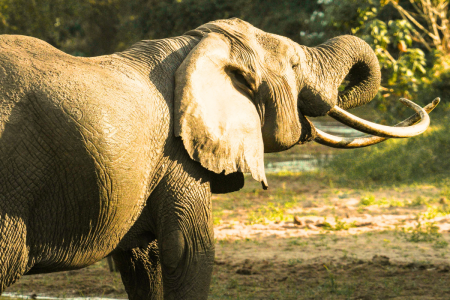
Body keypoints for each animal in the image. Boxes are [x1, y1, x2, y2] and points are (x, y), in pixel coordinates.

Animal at [0, 18, 436, 300]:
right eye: (296, 65)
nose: (415, 102)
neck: (192, 44)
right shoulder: (177, 155)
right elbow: (189, 251)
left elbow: (144, 259)